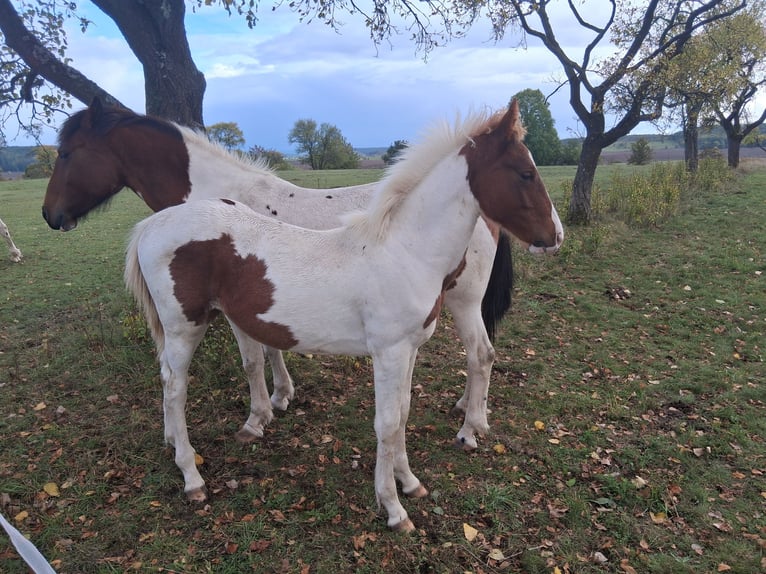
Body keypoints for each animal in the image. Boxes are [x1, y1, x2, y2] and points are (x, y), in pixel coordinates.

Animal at [43, 98, 515, 450]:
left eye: (66, 153)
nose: (50, 215)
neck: (219, 196)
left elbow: (254, 361)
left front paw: (259, 416)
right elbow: (272, 351)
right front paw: (283, 395)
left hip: (464, 301)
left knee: (481, 354)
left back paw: (472, 427)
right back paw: (465, 406)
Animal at [124, 101, 564, 531]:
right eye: (526, 173)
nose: (555, 236)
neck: (405, 250)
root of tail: (152, 224)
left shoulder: (409, 349)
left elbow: (403, 414)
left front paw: (409, 483)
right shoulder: (388, 353)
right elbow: (387, 423)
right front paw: (393, 508)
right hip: (184, 327)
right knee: (174, 387)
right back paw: (192, 477)